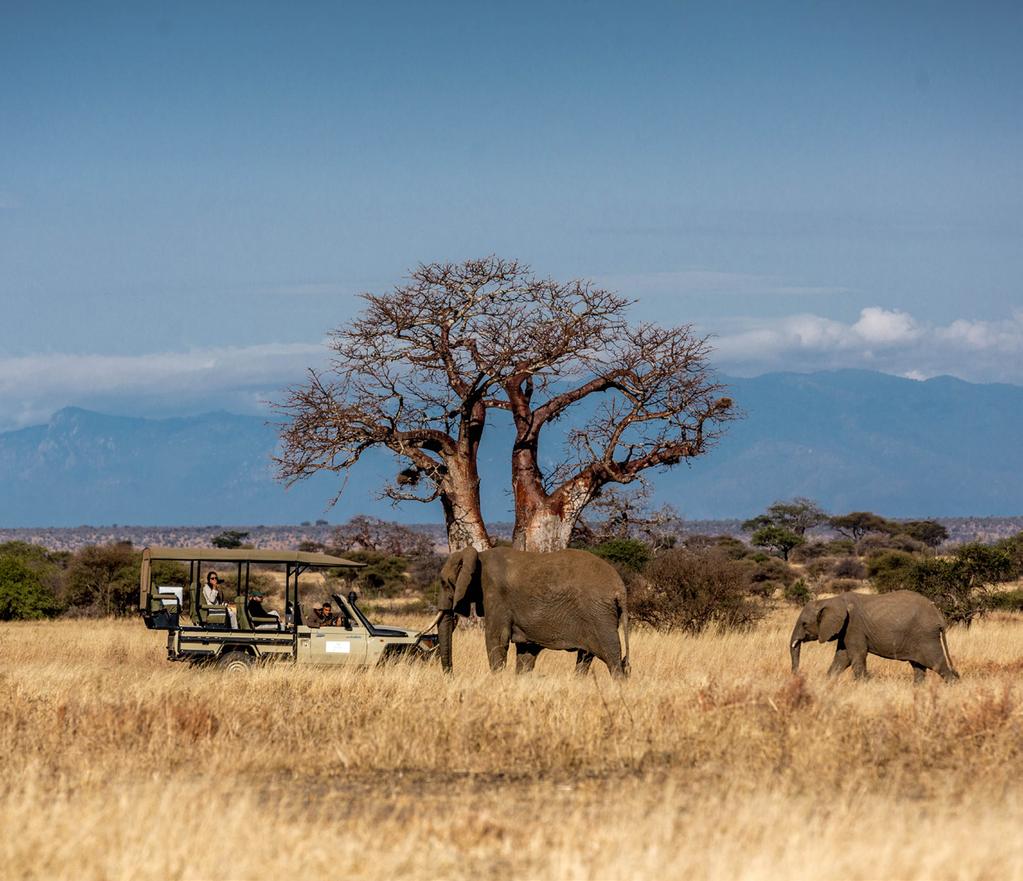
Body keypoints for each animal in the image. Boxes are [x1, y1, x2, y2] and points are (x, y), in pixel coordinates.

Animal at [425, 548, 630, 675]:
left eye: (444, 583)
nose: (450, 676)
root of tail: (620, 589)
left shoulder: (495, 595)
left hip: (599, 615)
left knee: (612, 658)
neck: (478, 555)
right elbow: (526, 650)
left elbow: (496, 639)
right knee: (586, 657)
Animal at [789, 589, 957, 683]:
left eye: (804, 624)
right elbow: (842, 658)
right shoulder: (845, 630)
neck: (831, 600)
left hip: (926, 636)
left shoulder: (853, 626)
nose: (797, 676)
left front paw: (862, 685)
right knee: (919, 667)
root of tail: (938, 615)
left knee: (938, 665)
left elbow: (856, 656)